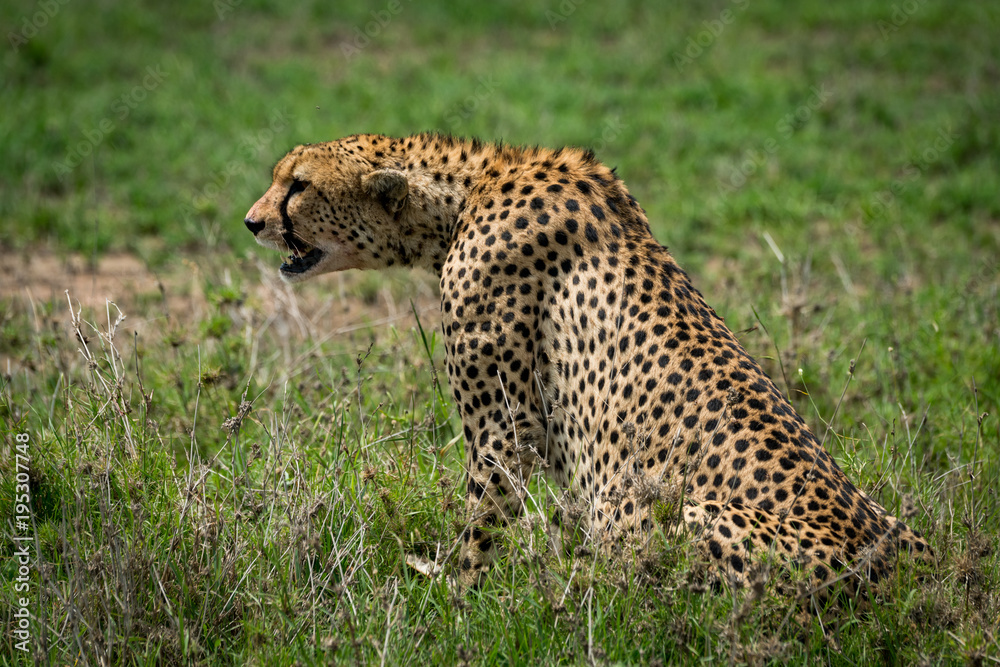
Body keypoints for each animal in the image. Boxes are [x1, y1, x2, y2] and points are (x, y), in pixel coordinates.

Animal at [244, 132, 932, 597]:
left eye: (299, 185)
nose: (251, 222)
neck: (468, 190)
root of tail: (913, 577)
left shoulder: (506, 427)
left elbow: (480, 524)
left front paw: (451, 602)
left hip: (695, 515)